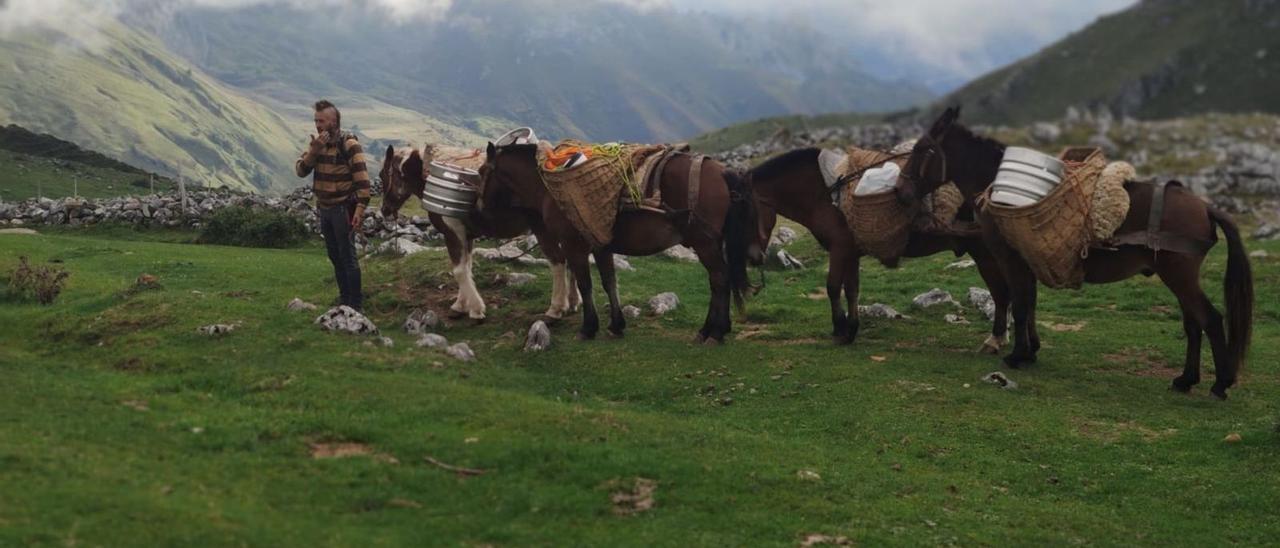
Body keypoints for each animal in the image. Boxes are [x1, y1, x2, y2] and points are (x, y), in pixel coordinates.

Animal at [378, 145, 581, 321]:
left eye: (382, 174)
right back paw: (572, 301)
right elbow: (467, 267)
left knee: (558, 261)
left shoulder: (452, 233)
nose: (385, 210)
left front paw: (476, 309)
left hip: (544, 231)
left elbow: (459, 270)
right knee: (572, 260)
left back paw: (556, 308)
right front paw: (460, 305)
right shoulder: (466, 237)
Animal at [478, 141, 757, 343]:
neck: (550, 187)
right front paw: (616, 324)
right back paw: (714, 329)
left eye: (481, 172)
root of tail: (722, 172)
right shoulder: (601, 245)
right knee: (720, 280)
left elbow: (586, 285)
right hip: (712, 242)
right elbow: (609, 282)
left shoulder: (574, 246)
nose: (480, 208)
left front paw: (588, 328)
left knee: (719, 279)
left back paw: (714, 332)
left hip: (704, 243)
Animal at [747, 147, 1013, 348]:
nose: (752, 258)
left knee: (1000, 291)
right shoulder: (851, 252)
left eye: (743, 213)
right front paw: (851, 330)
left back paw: (995, 339)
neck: (824, 194)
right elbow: (851, 289)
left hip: (985, 253)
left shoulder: (839, 249)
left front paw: (839, 329)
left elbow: (832, 287)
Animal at [901, 106, 1249, 396]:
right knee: (1193, 324)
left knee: (1210, 319)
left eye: (922, 149)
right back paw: (1185, 380)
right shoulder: (1026, 261)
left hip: (1179, 275)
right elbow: (1029, 303)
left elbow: (1019, 304)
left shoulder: (1011, 260)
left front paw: (1016, 355)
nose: (902, 190)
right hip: (1177, 277)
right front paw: (1030, 352)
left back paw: (1220, 383)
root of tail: (1204, 207)